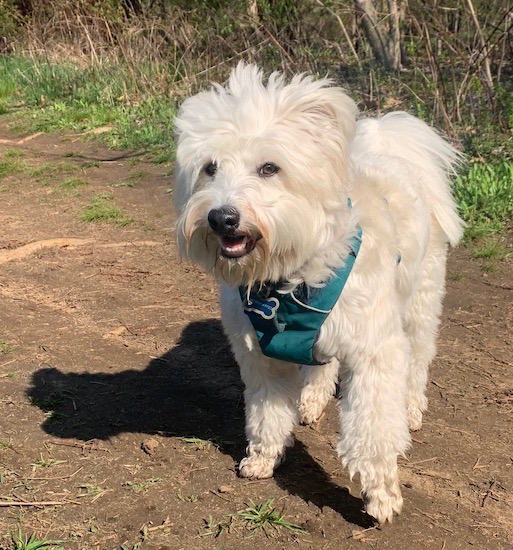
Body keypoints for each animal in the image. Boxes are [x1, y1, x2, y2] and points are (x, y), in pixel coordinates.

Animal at [171, 64, 460, 528]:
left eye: (269, 168)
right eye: (210, 167)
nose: (221, 217)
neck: (288, 279)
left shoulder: (374, 352)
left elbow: (372, 433)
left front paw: (381, 493)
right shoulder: (260, 357)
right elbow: (267, 414)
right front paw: (265, 456)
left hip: (420, 301)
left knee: (417, 358)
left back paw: (413, 406)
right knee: (323, 366)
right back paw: (312, 399)